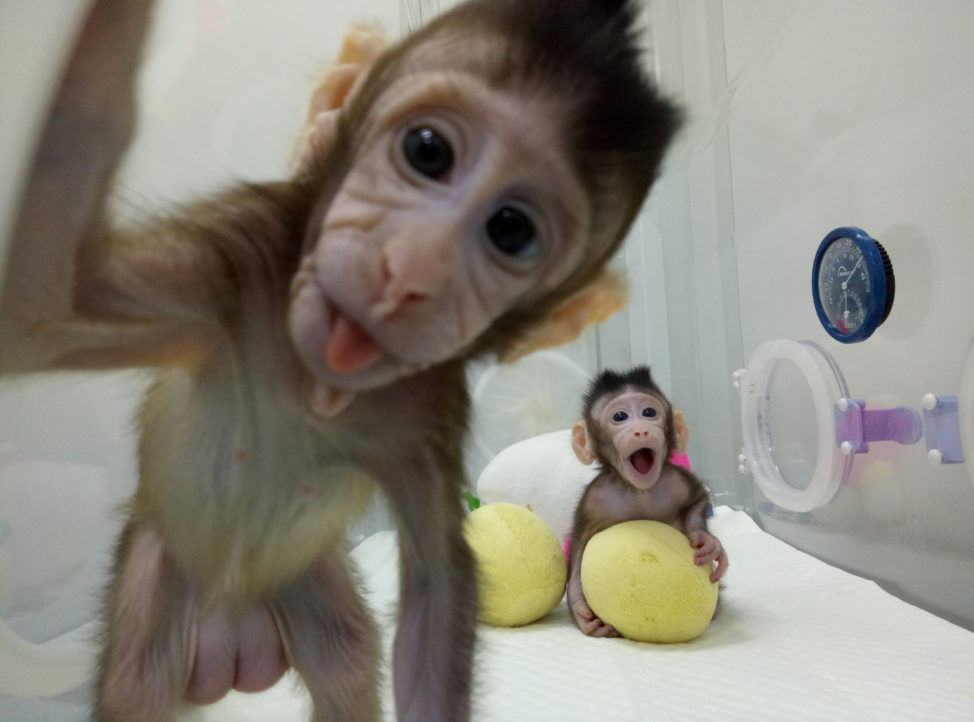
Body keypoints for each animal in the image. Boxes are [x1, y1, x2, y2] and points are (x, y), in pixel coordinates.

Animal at [0, 1, 684, 720]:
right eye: (427, 151)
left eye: (511, 231)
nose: (409, 268)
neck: (313, 379)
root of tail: (233, 635)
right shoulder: (241, 247)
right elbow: (42, 306)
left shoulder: (428, 407)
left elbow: (435, 587)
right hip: (161, 574)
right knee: (138, 680)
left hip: (309, 580)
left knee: (345, 664)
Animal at [568, 366, 728, 636]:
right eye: (620, 416)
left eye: (649, 412)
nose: (641, 430)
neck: (638, 491)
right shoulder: (593, 500)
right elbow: (580, 545)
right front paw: (580, 608)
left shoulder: (676, 480)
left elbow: (697, 500)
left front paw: (705, 541)